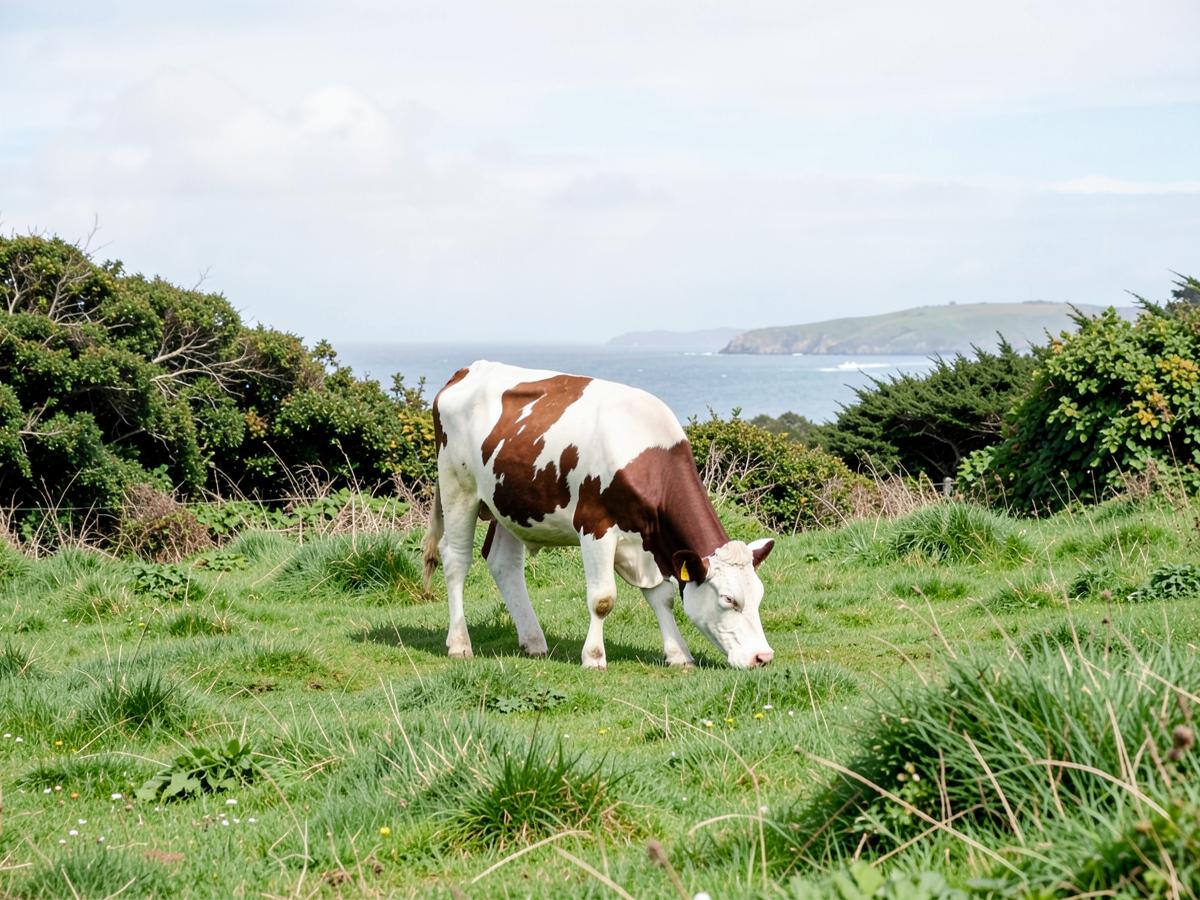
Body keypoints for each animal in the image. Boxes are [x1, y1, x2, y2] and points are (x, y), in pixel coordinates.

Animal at [421, 360, 775, 669]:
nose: (763, 657)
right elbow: (602, 599)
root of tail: (467, 370)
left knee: (503, 563)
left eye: (759, 596)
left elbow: (662, 597)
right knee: (456, 559)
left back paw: (534, 641)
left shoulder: (647, 543)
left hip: (509, 501)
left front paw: (678, 654)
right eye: (729, 599)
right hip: (458, 486)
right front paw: (593, 657)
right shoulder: (595, 526)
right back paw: (459, 643)